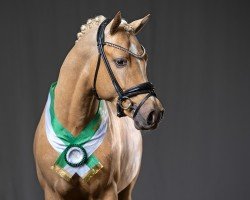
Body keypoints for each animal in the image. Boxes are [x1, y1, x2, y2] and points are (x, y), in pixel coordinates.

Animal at [34, 11, 165, 199]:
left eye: (145, 60)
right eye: (120, 61)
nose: (154, 112)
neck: (73, 128)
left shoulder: (108, 191)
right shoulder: (52, 193)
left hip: (127, 188)